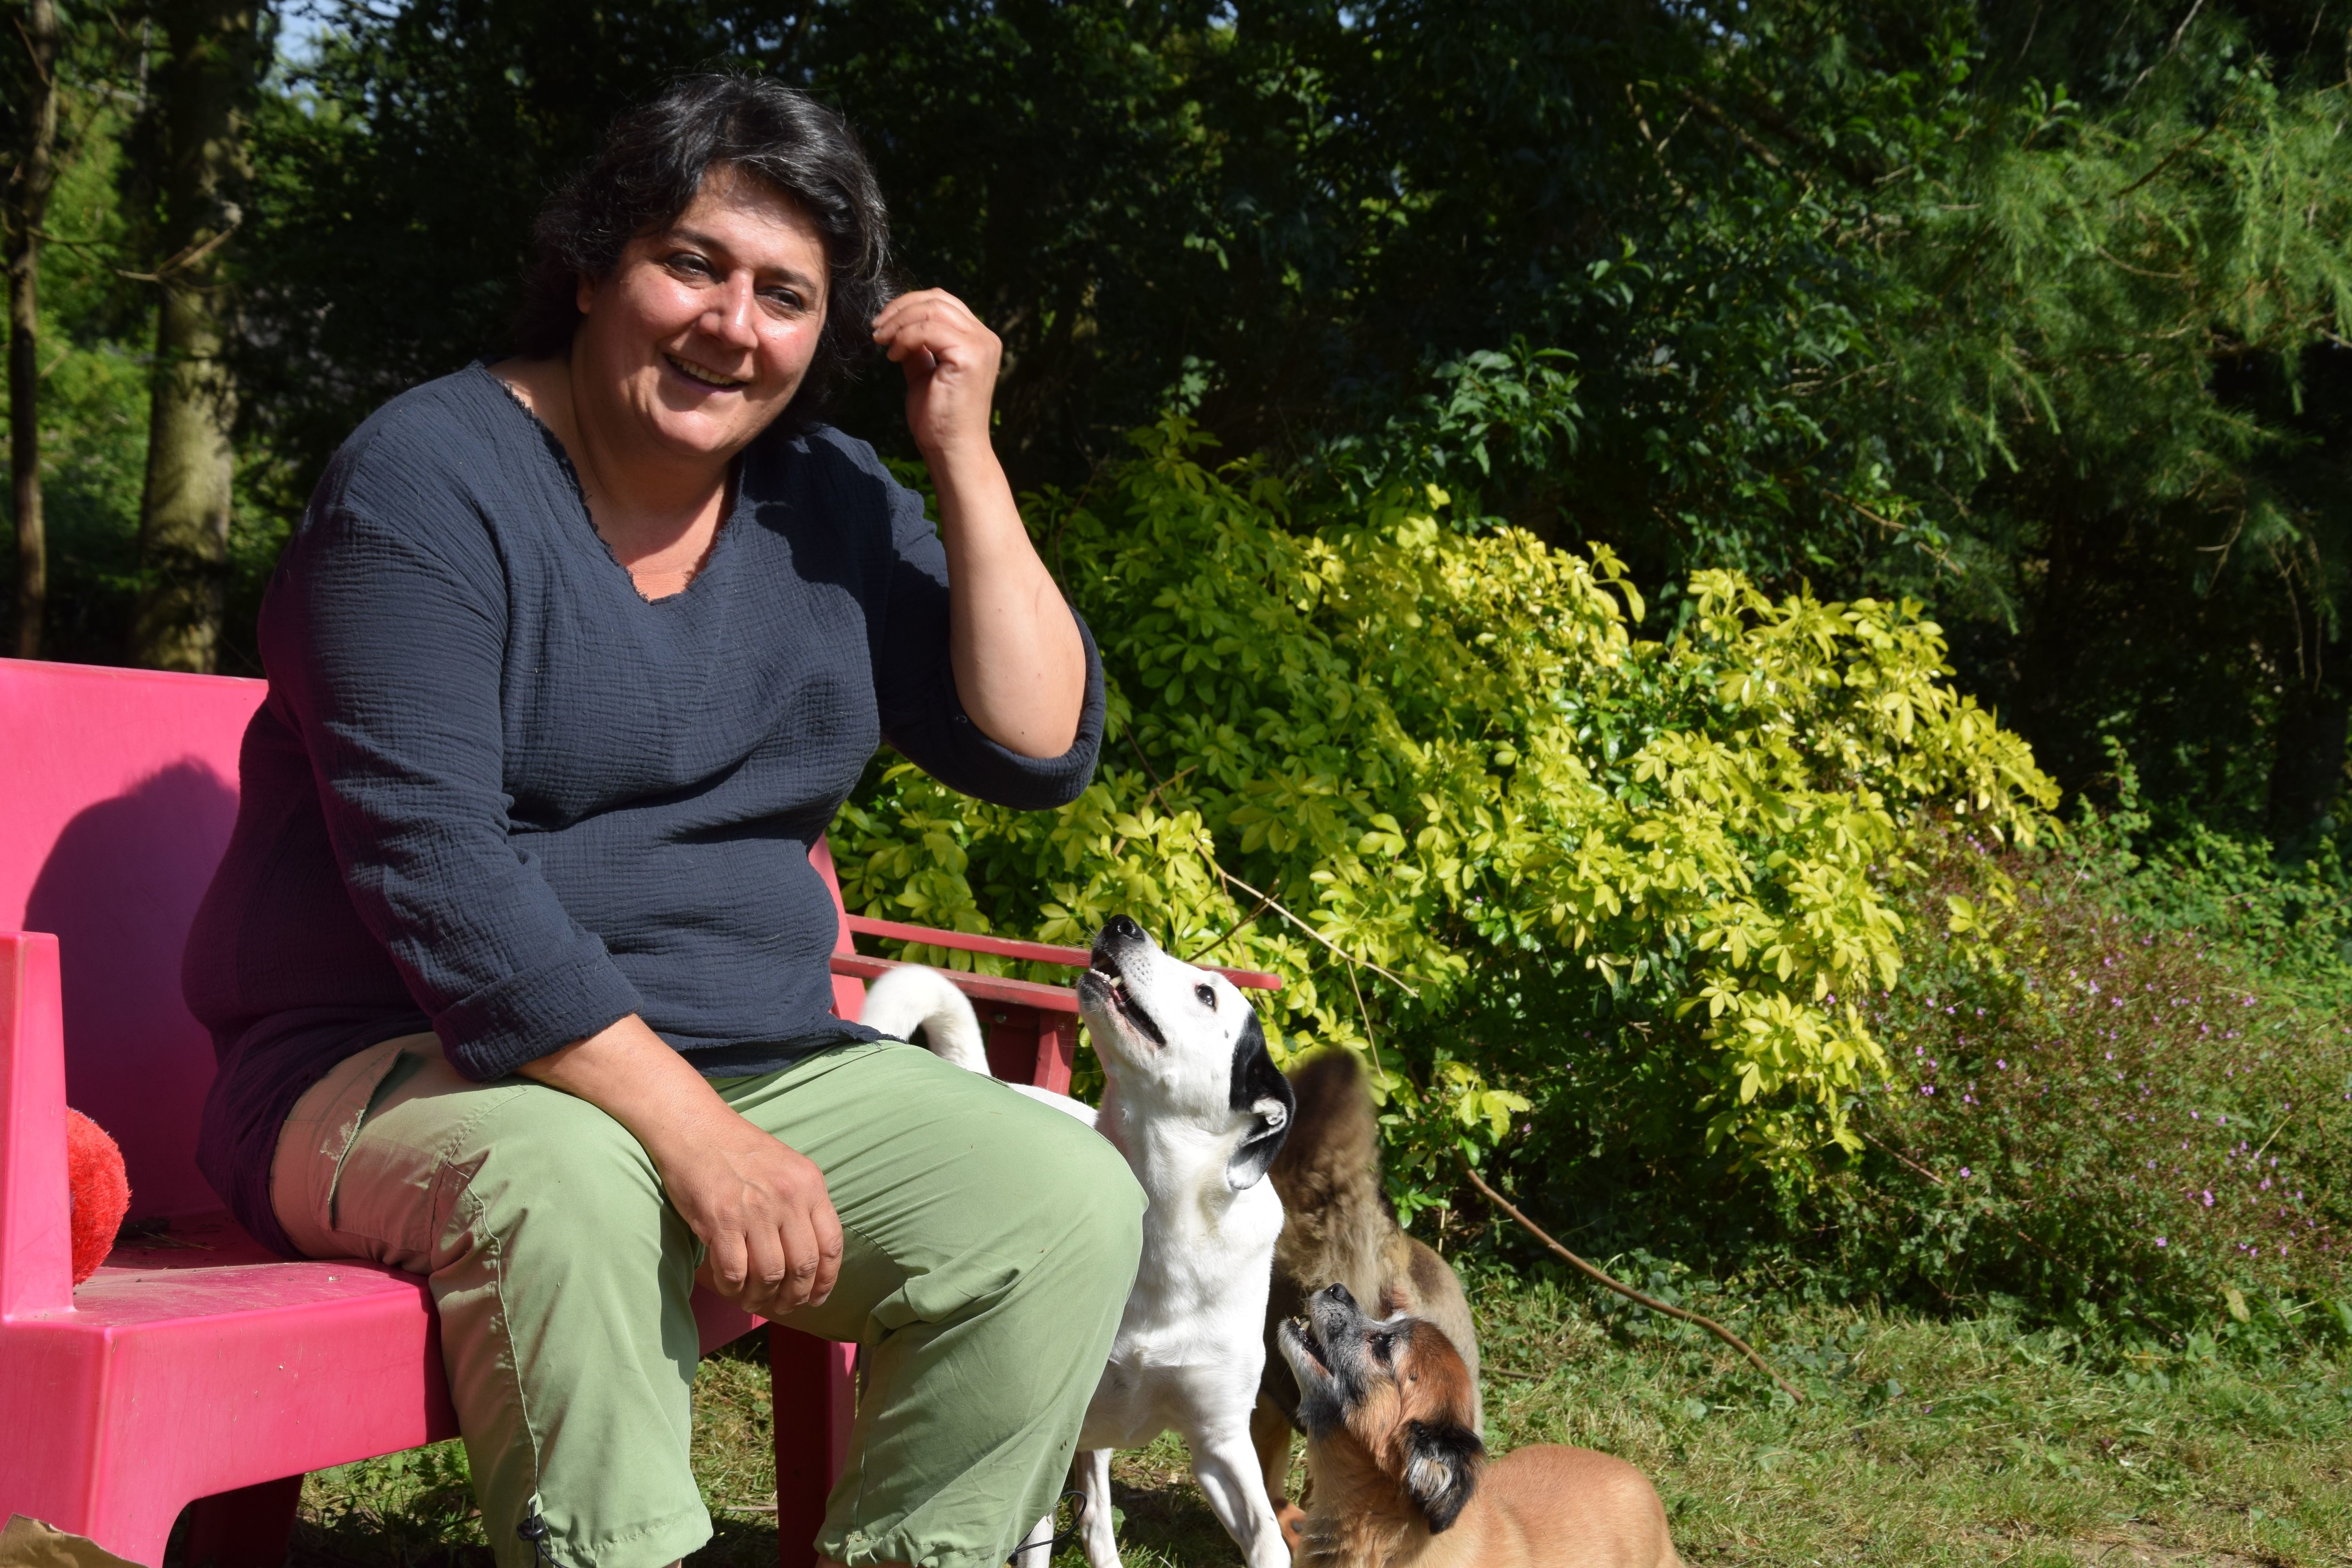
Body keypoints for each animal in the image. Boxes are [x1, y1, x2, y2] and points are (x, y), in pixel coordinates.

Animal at [856, 912, 1298, 1568]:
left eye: (1206, 994)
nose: (1121, 925)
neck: (1162, 1225)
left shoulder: (1219, 1442)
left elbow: (1269, 1538)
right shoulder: (1042, 1436)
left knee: (1092, 1518)